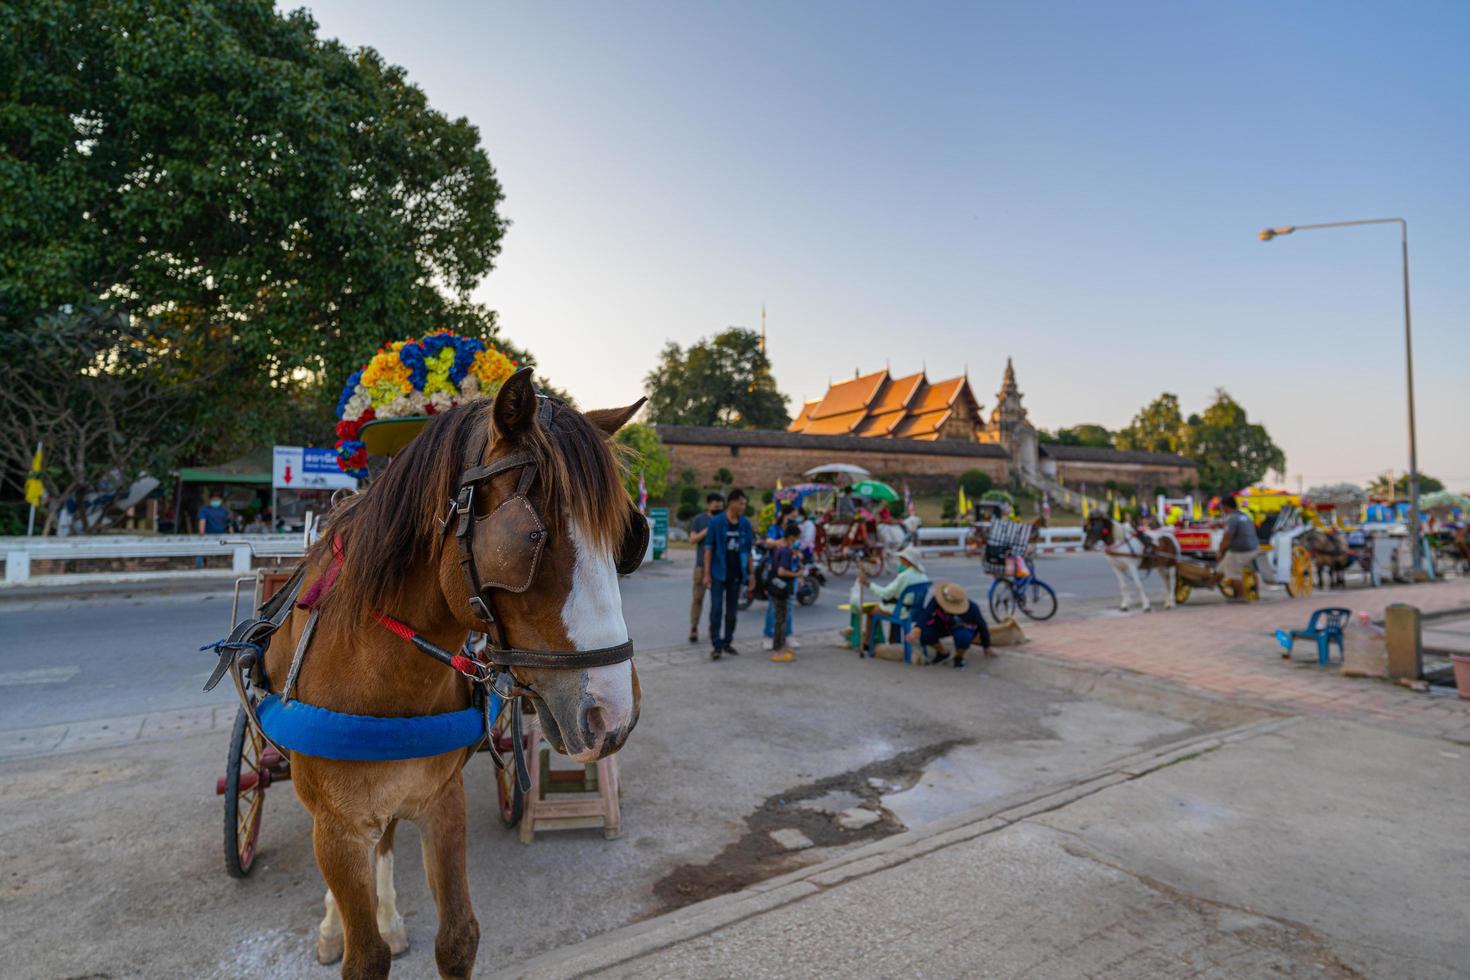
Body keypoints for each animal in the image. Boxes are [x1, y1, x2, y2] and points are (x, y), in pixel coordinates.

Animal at [269, 370, 643, 980]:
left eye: (626, 540)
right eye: (532, 538)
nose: (612, 715)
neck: (382, 678)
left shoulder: (442, 800)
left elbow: (459, 938)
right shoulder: (337, 826)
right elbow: (363, 956)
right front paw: (340, 929)